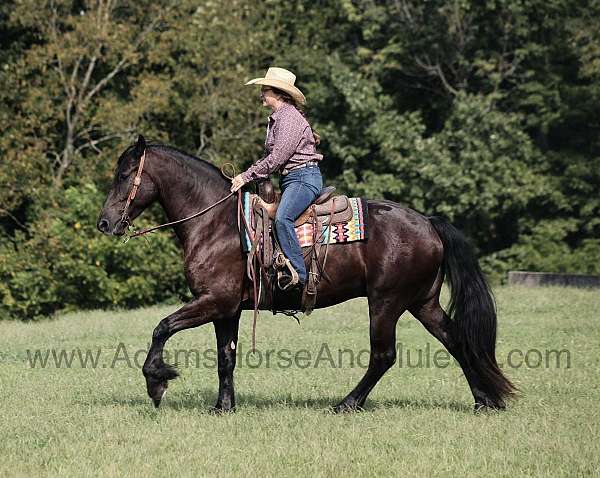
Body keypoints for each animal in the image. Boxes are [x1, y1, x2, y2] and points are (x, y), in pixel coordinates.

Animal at [96, 136, 512, 412]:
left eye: (124, 174)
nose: (104, 223)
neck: (216, 223)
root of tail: (428, 222)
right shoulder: (227, 309)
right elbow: (225, 357)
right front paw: (223, 407)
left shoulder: (213, 301)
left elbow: (162, 327)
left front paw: (157, 381)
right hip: (422, 302)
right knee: (456, 340)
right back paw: (484, 401)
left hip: (386, 303)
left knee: (384, 355)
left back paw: (347, 404)